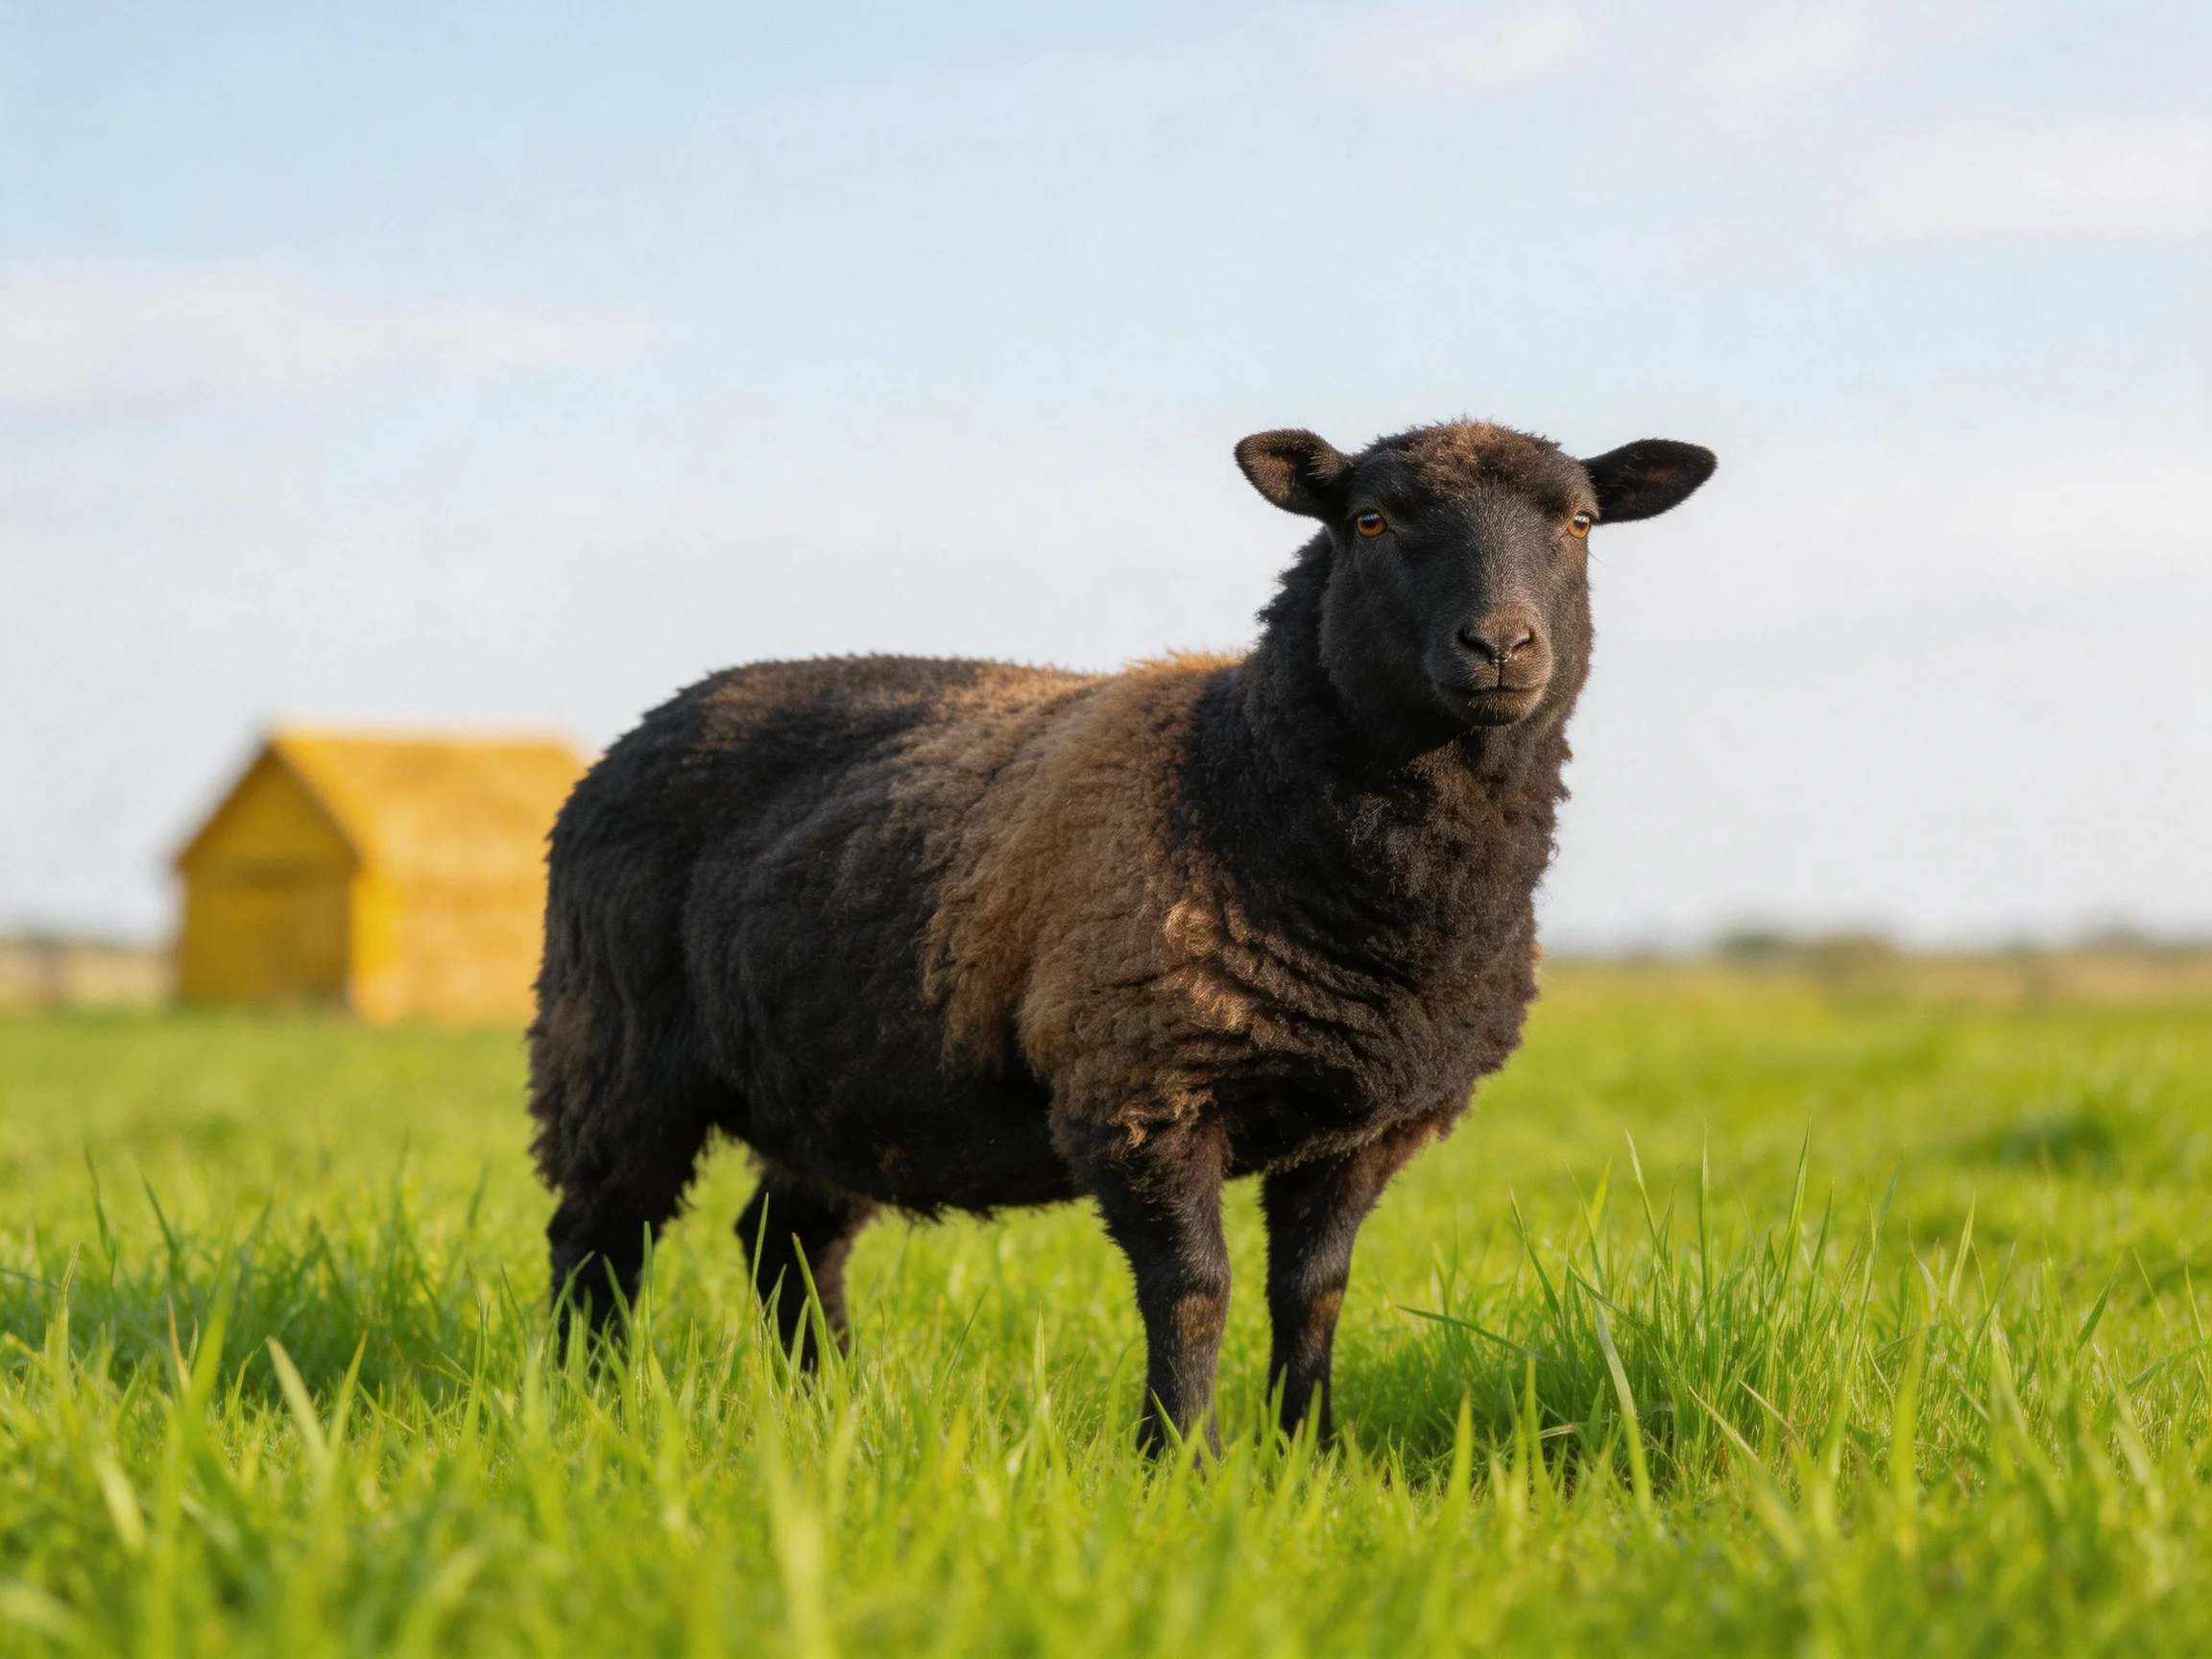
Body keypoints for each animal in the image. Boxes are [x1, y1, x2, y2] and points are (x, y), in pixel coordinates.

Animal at [528, 418, 1715, 1452]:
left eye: (1579, 522)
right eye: (1371, 521)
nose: (1502, 645)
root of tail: (649, 725)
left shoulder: (1364, 1126)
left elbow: (1316, 1294)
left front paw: (1314, 1456)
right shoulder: (1143, 1085)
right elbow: (1195, 1291)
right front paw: (1185, 1461)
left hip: (839, 1082)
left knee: (787, 1243)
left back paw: (830, 1407)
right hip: (612, 1047)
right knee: (600, 1236)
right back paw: (587, 1404)